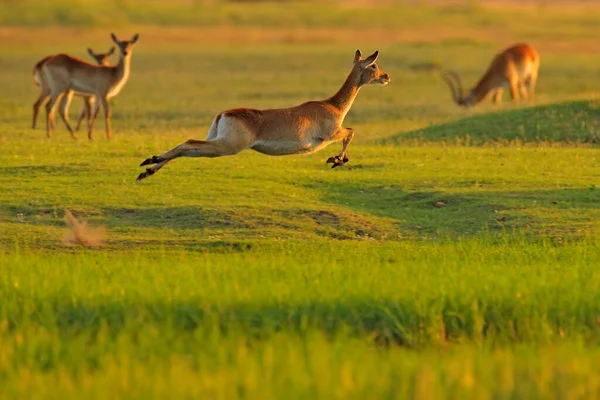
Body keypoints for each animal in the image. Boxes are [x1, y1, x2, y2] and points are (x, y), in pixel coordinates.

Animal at [135, 49, 390, 182]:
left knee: (188, 147)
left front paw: (337, 160)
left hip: (216, 141)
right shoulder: (331, 133)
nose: (387, 76)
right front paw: (336, 160)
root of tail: (223, 113)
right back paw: (150, 163)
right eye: (373, 65)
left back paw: (148, 168)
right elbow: (352, 131)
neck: (333, 106)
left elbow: (351, 132)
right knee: (189, 143)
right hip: (228, 146)